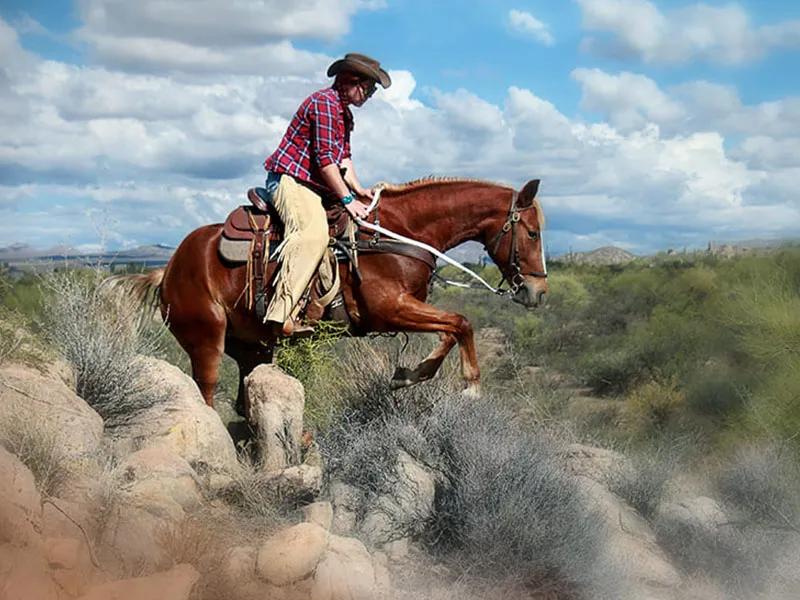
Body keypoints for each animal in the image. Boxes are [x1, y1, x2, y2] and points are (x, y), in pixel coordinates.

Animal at [115, 176, 548, 414]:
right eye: (532, 233)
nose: (538, 291)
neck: (399, 232)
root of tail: (167, 269)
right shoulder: (389, 309)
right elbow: (462, 323)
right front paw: (471, 387)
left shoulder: (409, 307)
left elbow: (448, 331)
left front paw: (408, 376)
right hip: (207, 338)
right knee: (205, 391)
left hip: (253, 346)